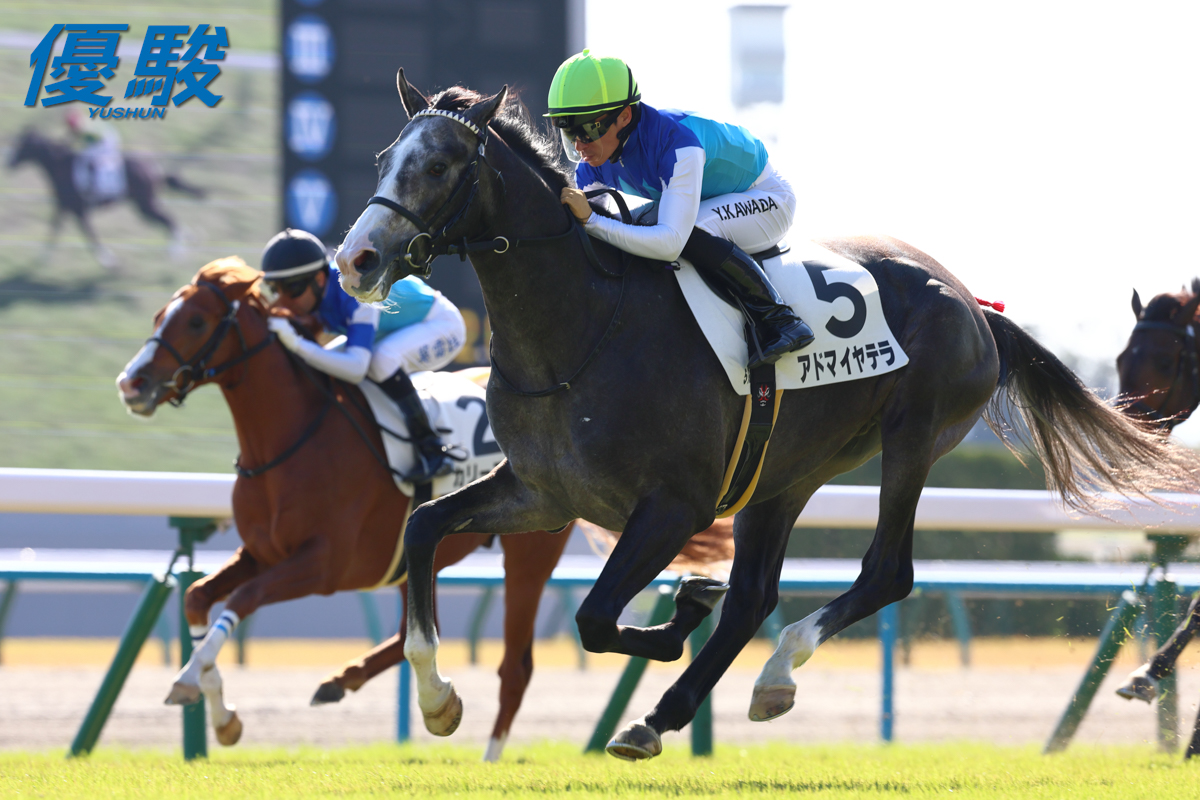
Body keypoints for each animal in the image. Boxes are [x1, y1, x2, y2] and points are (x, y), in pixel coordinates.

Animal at [8, 128, 203, 270]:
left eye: (23, 145)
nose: (9, 162)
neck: (61, 166)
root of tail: (156, 169)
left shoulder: (79, 210)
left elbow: (89, 235)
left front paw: (109, 261)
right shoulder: (65, 206)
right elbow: (55, 230)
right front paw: (42, 258)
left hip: (145, 205)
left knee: (169, 220)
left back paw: (175, 254)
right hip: (146, 204)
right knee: (170, 220)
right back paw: (188, 239)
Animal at [332, 71, 1200, 760]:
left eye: (439, 164)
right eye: (383, 160)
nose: (355, 260)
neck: (580, 329)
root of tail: (972, 303)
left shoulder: (672, 506)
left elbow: (596, 616)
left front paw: (683, 605)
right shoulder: (544, 492)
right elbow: (424, 530)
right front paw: (440, 700)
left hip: (911, 437)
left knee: (885, 571)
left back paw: (770, 672)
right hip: (784, 471)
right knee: (753, 594)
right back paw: (662, 715)